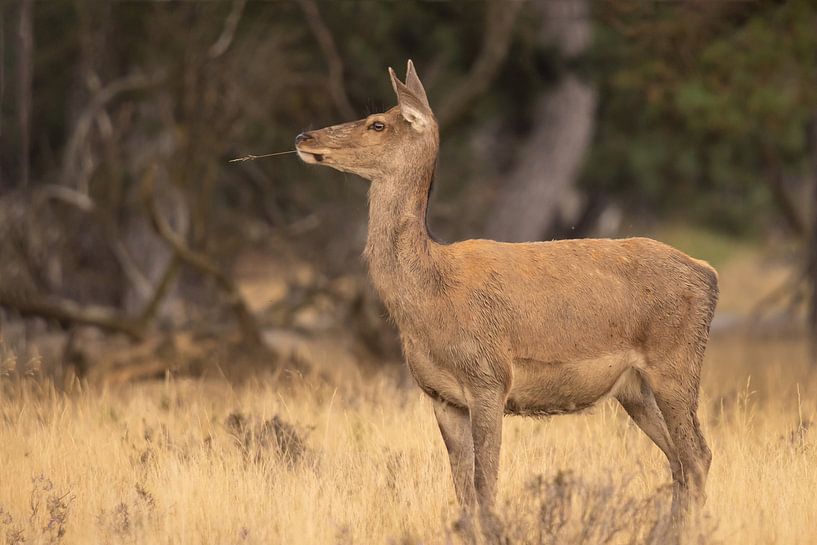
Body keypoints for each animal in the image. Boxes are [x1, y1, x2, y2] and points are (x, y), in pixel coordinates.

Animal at [294, 59, 712, 536]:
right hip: (634, 388)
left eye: (377, 123)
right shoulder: (441, 396)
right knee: (679, 460)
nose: (304, 137)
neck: (430, 296)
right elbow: (461, 488)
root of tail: (709, 274)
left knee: (697, 455)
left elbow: (484, 482)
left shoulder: (489, 378)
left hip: (675, 362)